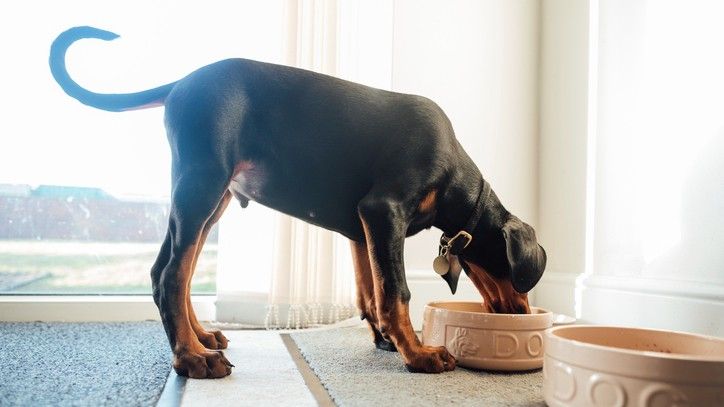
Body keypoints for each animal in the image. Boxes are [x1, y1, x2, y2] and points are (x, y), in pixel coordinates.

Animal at [49, 27, 544, 380]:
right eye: (521, 277)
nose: (523, 315)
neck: (453, 175)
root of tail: (181, 83)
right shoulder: (384, 212)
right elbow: (396, 290)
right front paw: (418, 354)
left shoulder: (362, 228)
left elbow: (370, 292)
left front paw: (386, 339)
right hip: (202, 182)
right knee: (172, 274)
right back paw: (192, 358)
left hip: (212, 197)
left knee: (169, 272)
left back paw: (202, 338)